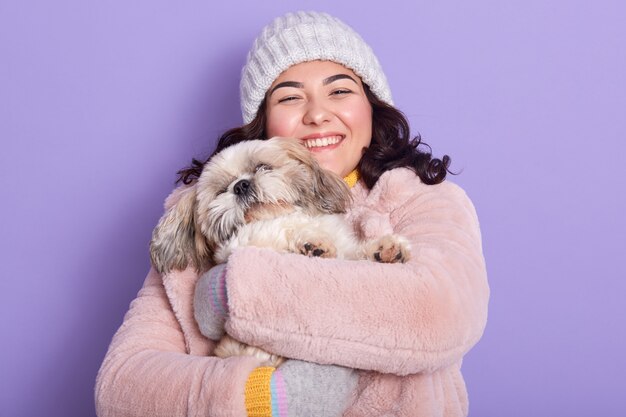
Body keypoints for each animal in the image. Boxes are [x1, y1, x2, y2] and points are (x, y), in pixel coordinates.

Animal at [148, 136, 408, 364]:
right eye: (221, 190)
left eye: (263, 167)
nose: (241, 185)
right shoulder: (244, 244)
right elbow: (278, 234)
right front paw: (311, 243)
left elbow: (353, 254)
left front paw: (384, 250)